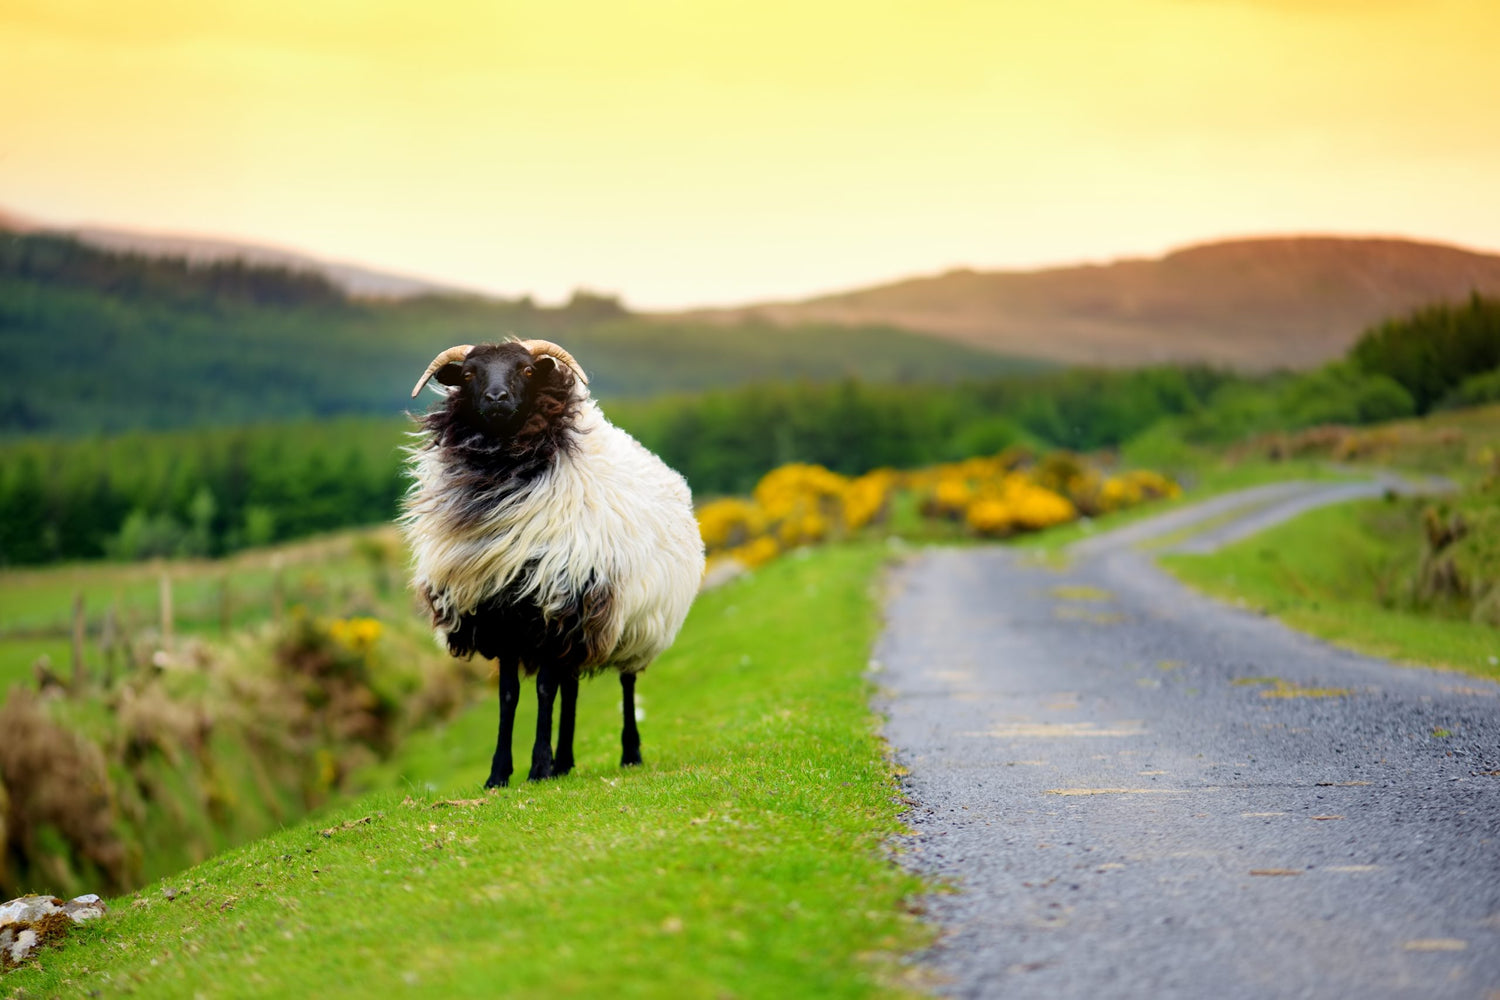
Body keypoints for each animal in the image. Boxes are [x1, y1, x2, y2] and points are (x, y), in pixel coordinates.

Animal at [399, 340, 702, 785]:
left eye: (527, 371)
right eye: (469, 374)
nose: (497, 398)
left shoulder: (552, 609)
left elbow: (544, 690)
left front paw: (538, 767)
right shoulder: (501, 614)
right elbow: (509, 695)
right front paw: (500, 774)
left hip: (636, 620)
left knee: (625, 682)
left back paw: (628, 753)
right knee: (571, 687)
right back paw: (566, 761)